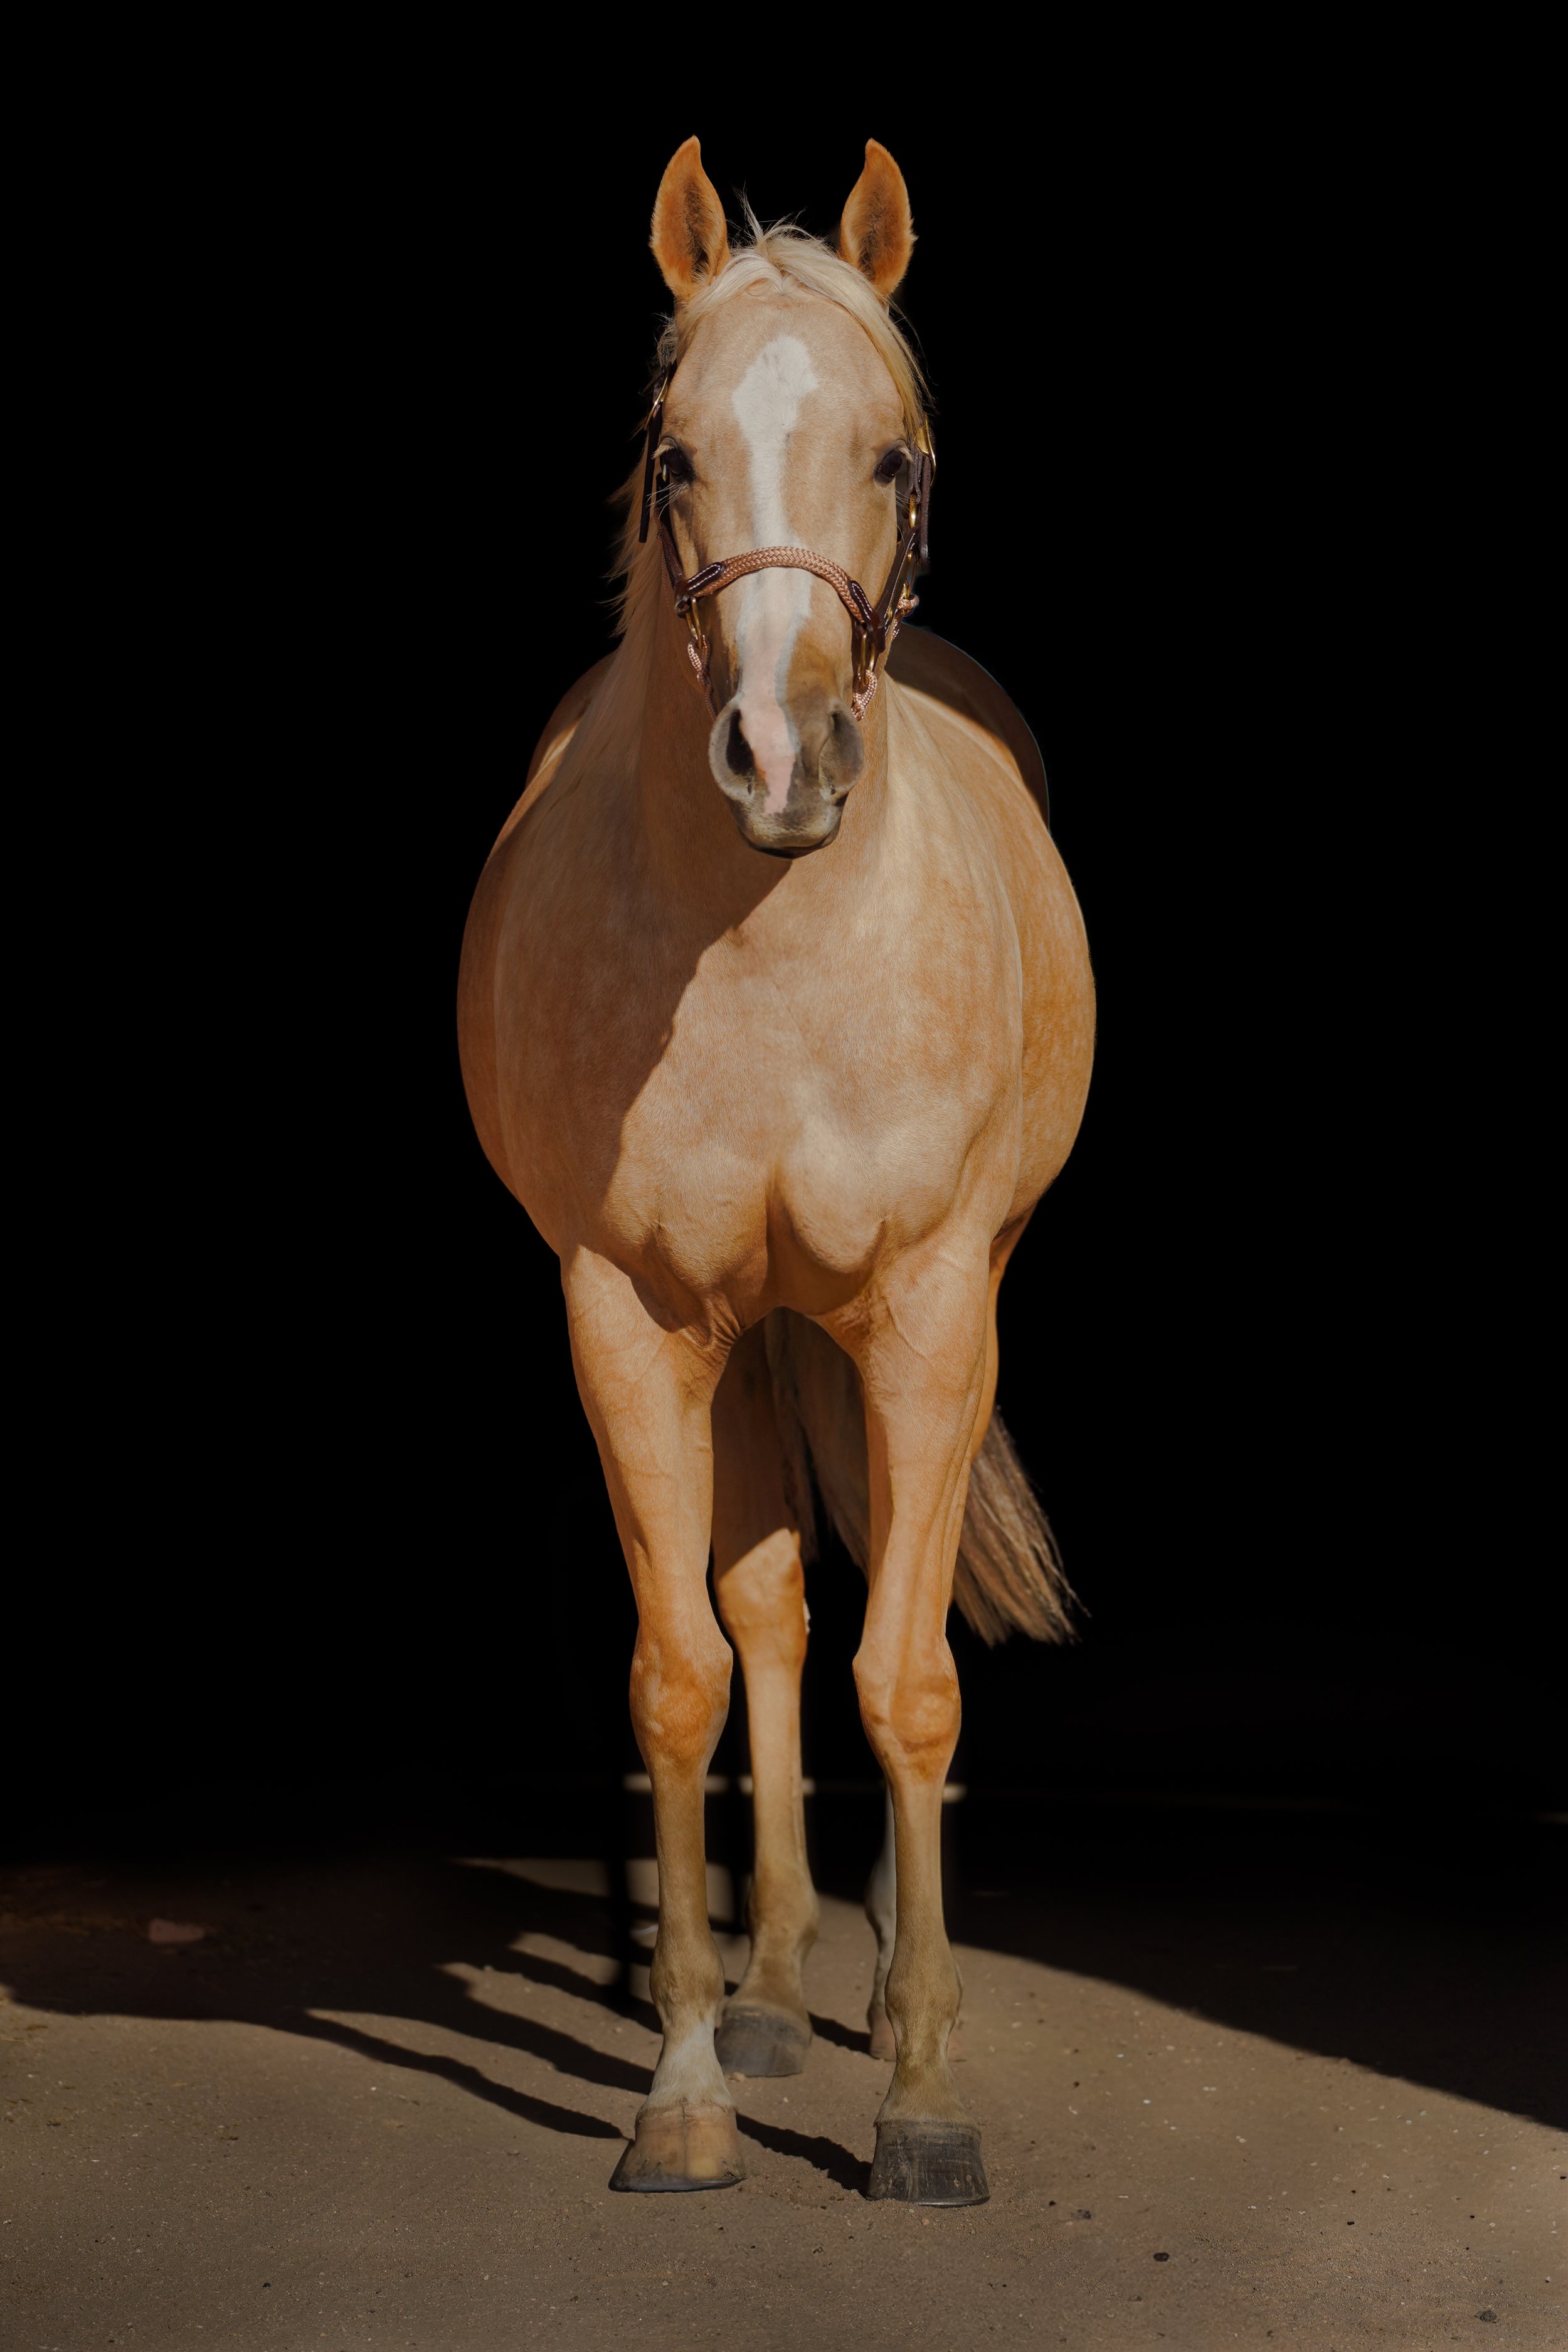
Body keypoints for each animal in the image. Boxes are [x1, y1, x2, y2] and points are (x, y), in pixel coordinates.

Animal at [458, 137, 1095, 2206]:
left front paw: (922, 2090)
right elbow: (686, 1661)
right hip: (745, 1335)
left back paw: (890, 1980)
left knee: (883, 1610)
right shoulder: (629, 1312)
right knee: (768, 1607)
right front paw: (680, 2081)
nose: (777, 754)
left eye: (891, 454)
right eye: (673, 455)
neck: (760, 943)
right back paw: (764, 1978)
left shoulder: (928, 1304)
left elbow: (913, 1678)